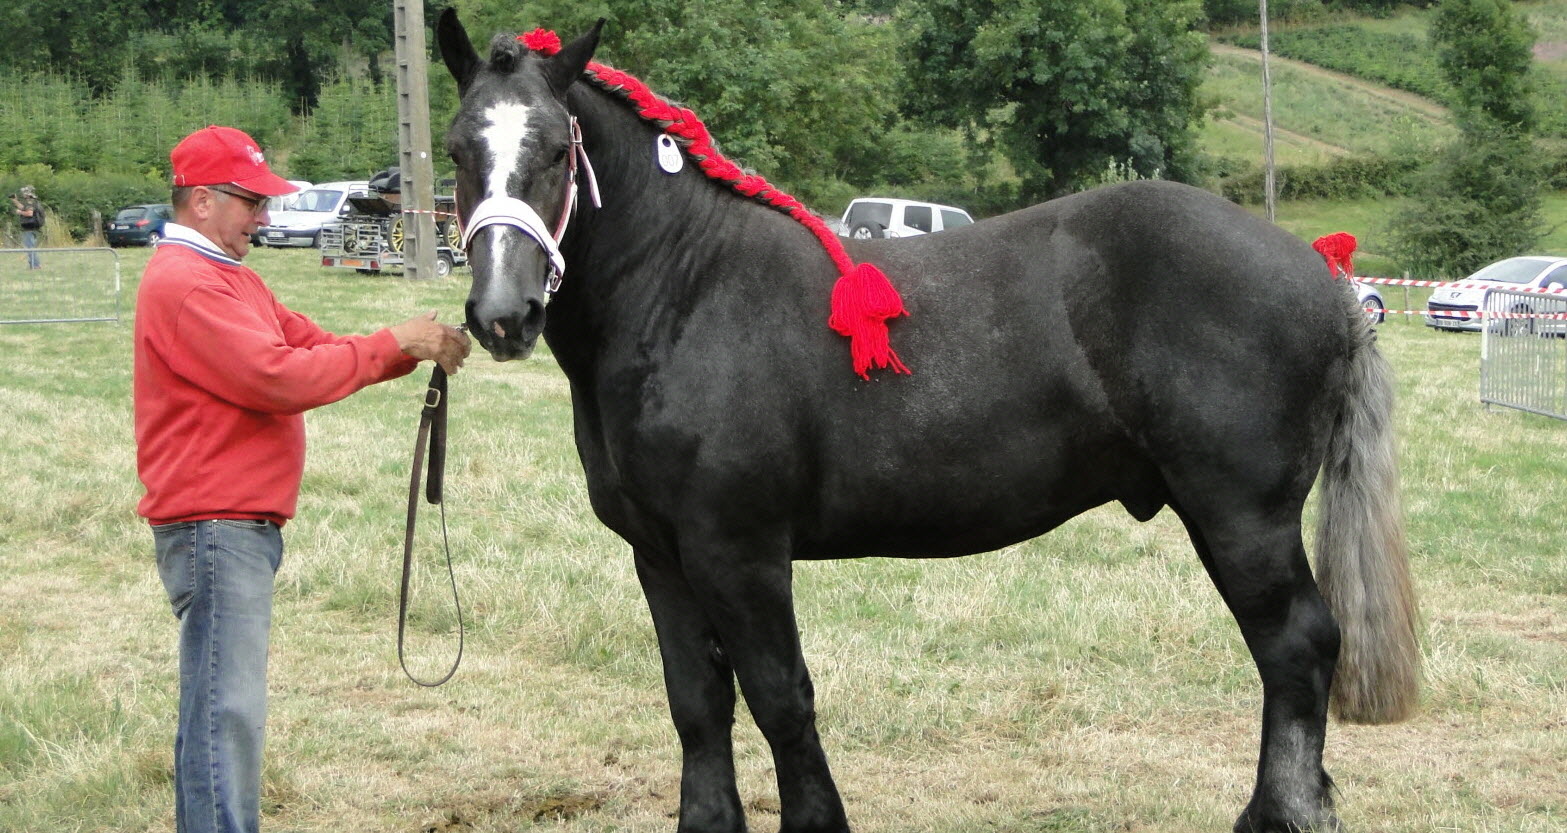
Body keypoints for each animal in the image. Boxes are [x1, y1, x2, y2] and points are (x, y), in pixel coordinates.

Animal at [435, 11, 1419, 832]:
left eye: (554, 149)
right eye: (455, 150)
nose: (503, 313)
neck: (686, 291)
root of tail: (1326, 277)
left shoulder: (739, 550)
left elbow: (779, 695)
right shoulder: (661, 555)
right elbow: (697, 703)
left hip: (1240, 516)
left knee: (1295, 647)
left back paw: (1280, 814)